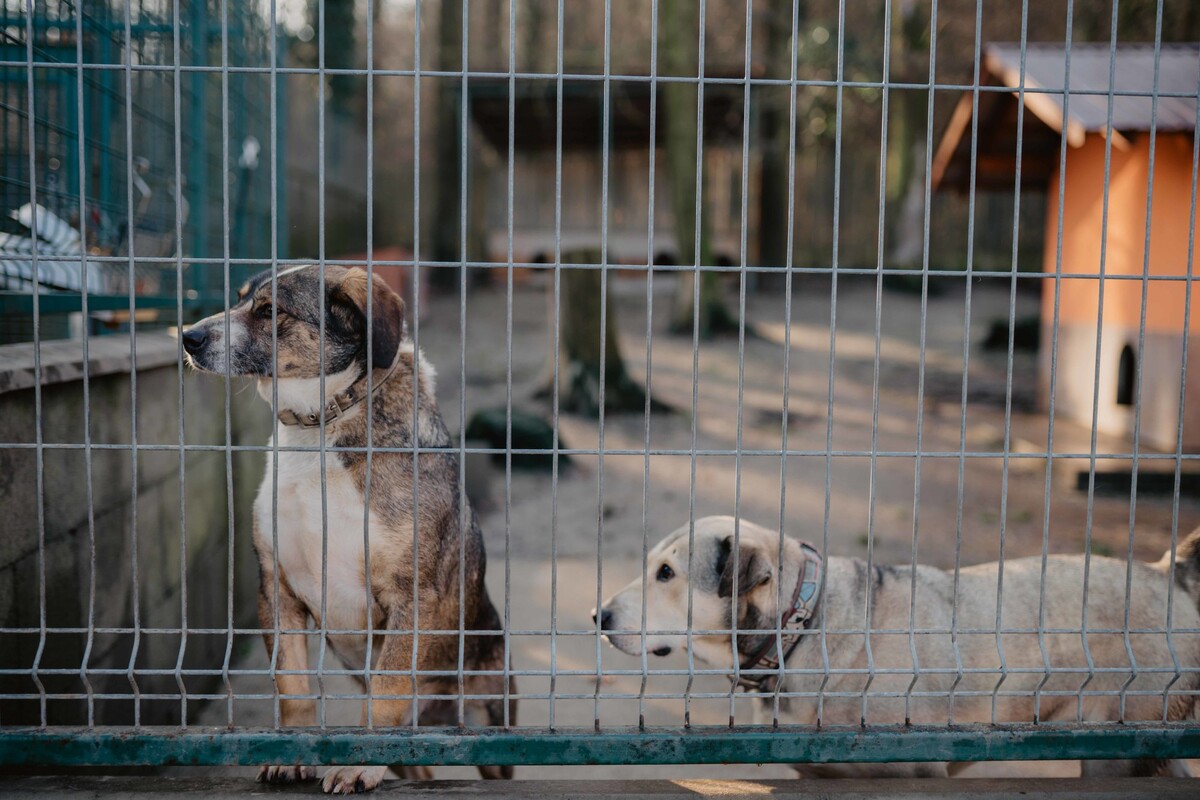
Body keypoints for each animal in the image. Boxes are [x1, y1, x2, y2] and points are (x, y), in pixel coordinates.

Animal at [184, 266, 513, 791]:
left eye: (270, 311)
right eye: (238, 300)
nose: (188, 337)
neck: (317, 430)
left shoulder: (415, 598)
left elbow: (390, 685)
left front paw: (361, 761)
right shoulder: (276, 589)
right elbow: (293, 685)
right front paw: (293, 752)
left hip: (490, 719)